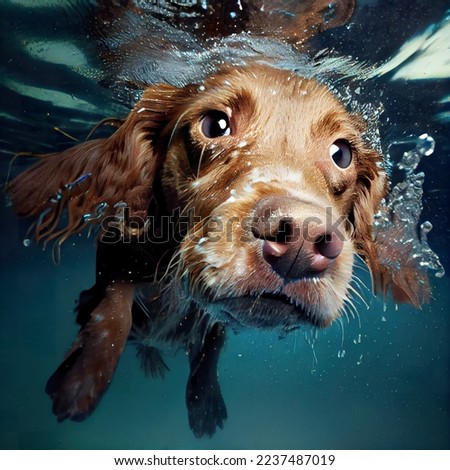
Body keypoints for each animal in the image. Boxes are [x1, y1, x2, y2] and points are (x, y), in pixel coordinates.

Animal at [5, 1, 438, 438]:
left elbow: (211, 340)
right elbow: (114, 307)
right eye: (215, 125)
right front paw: (83, 375)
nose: (300, 240)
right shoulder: (119, 246)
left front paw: (204, 399)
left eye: (342, 153)